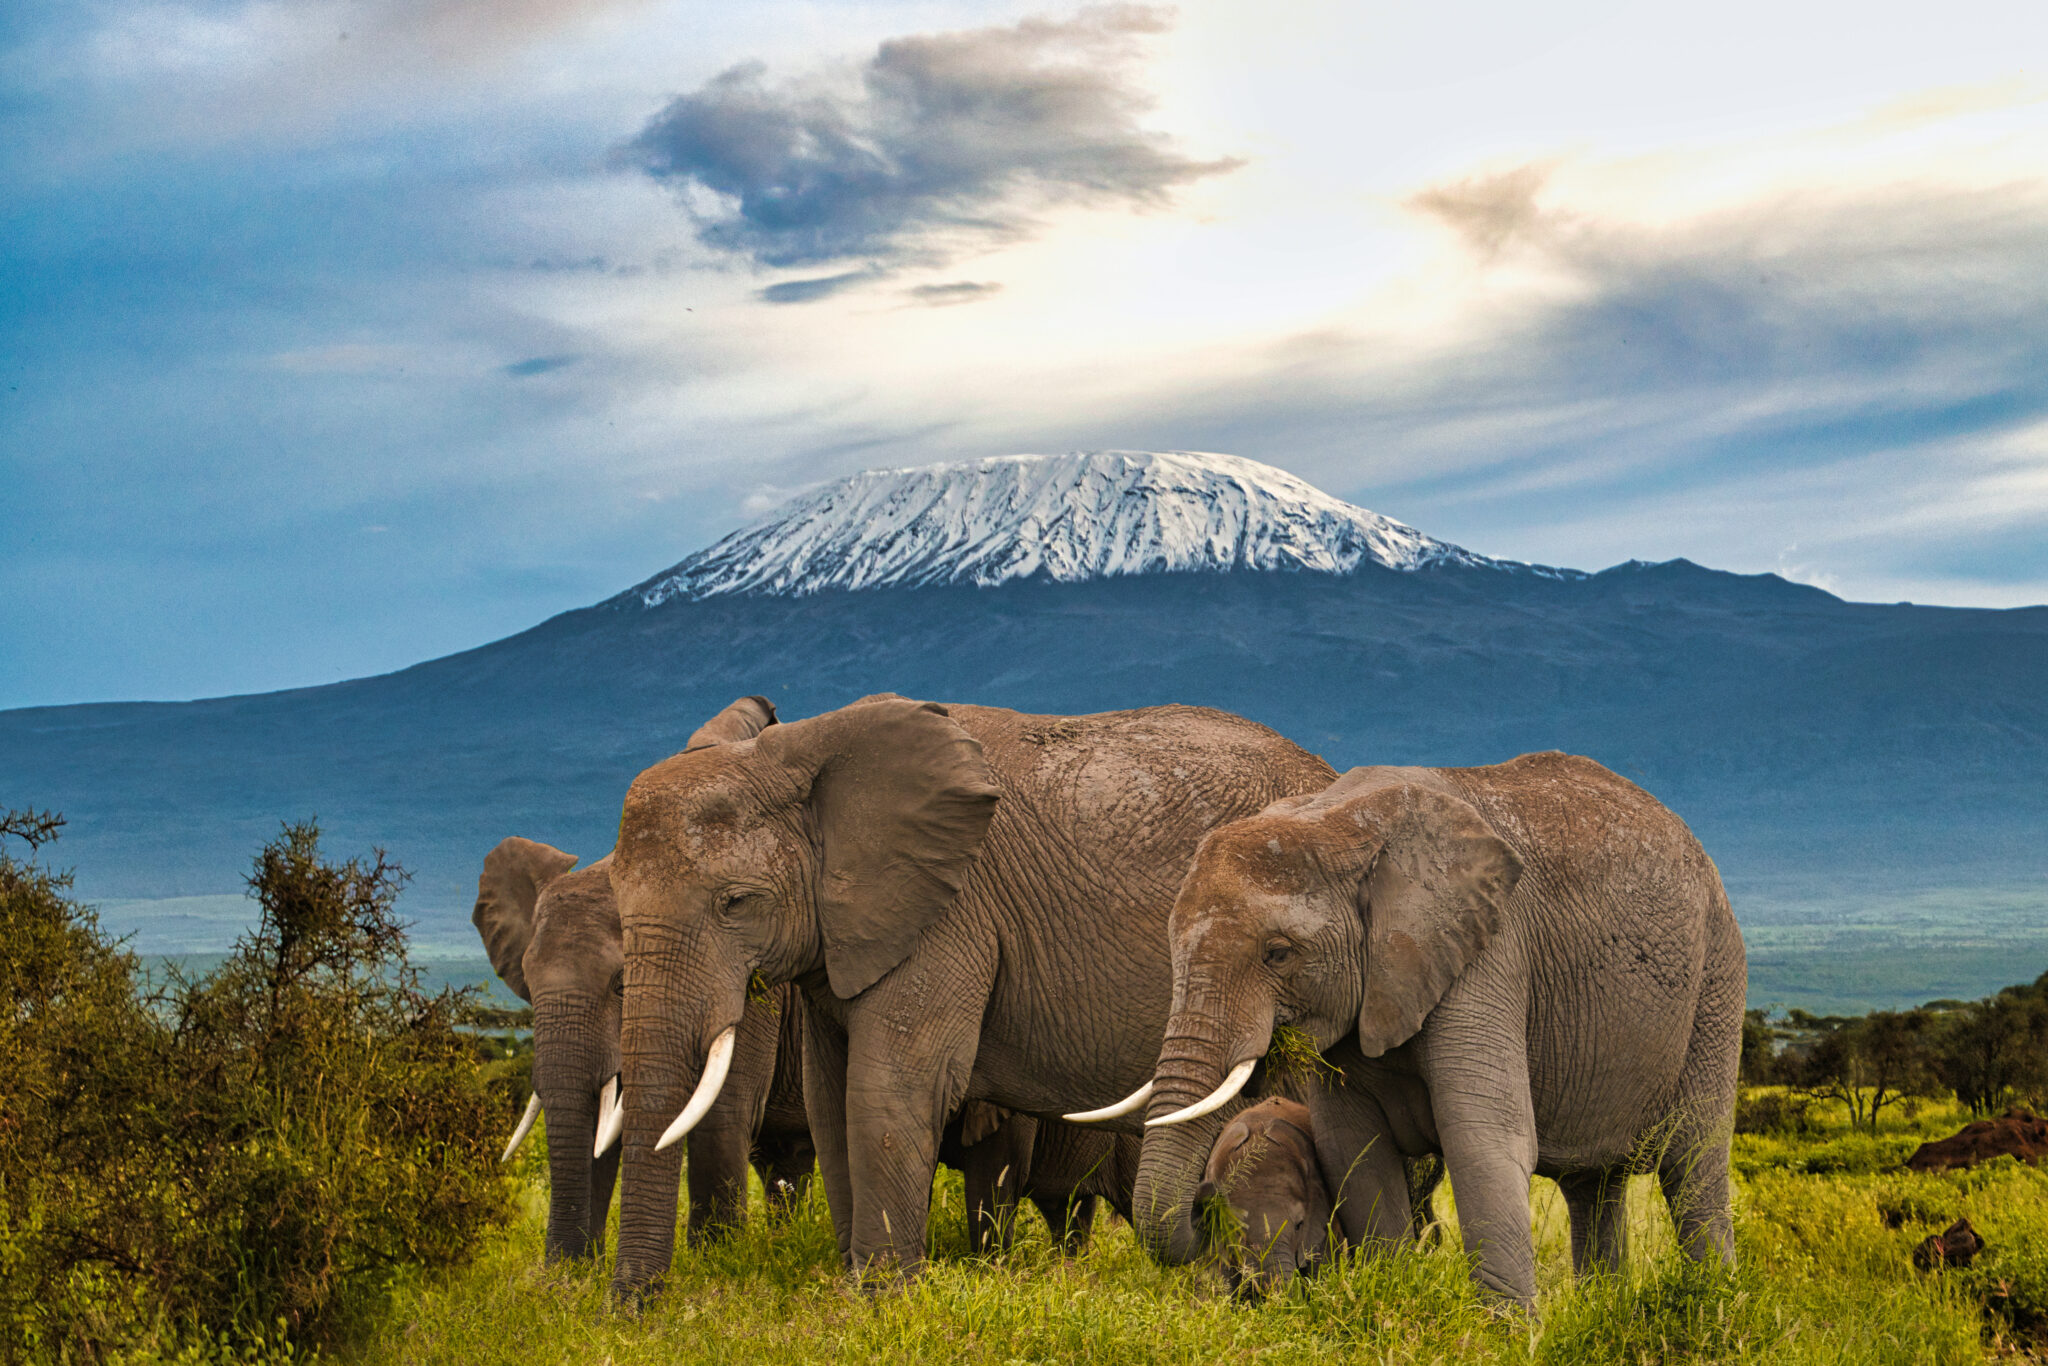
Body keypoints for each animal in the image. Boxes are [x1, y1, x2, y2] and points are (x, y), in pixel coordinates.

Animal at [468, 696, 811, 1261]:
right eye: (529, 989)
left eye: (621, 986)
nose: (560, 1267)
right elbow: (604, 1121)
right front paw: (575, 1274)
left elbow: (723, 1109)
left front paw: (715, 1264)